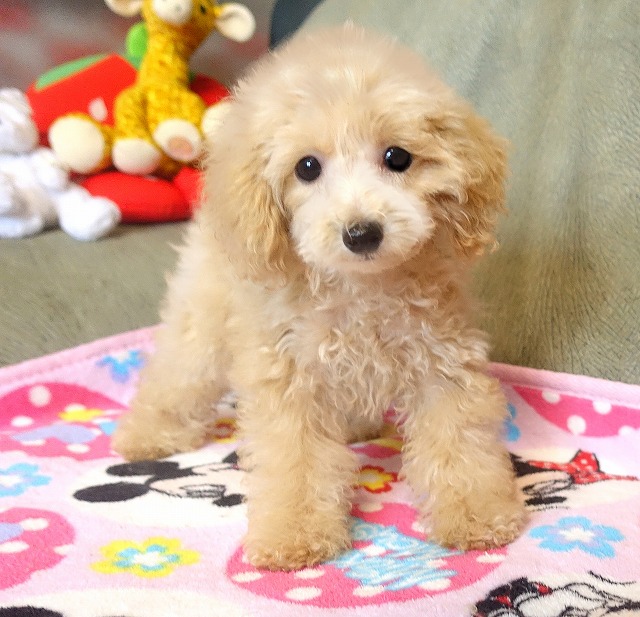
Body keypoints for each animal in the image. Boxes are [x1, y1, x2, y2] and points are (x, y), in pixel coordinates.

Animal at [112, 24, 527, 570]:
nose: (362, 232)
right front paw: (294, 534)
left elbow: (459, 438)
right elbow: (296, 460)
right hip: (203, 316)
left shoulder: (443, 358)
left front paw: (479, 515)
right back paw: (146, 435)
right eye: (306, 167)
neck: (360, 285)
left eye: (398, 158)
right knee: (178, 373)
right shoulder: (289, 378)